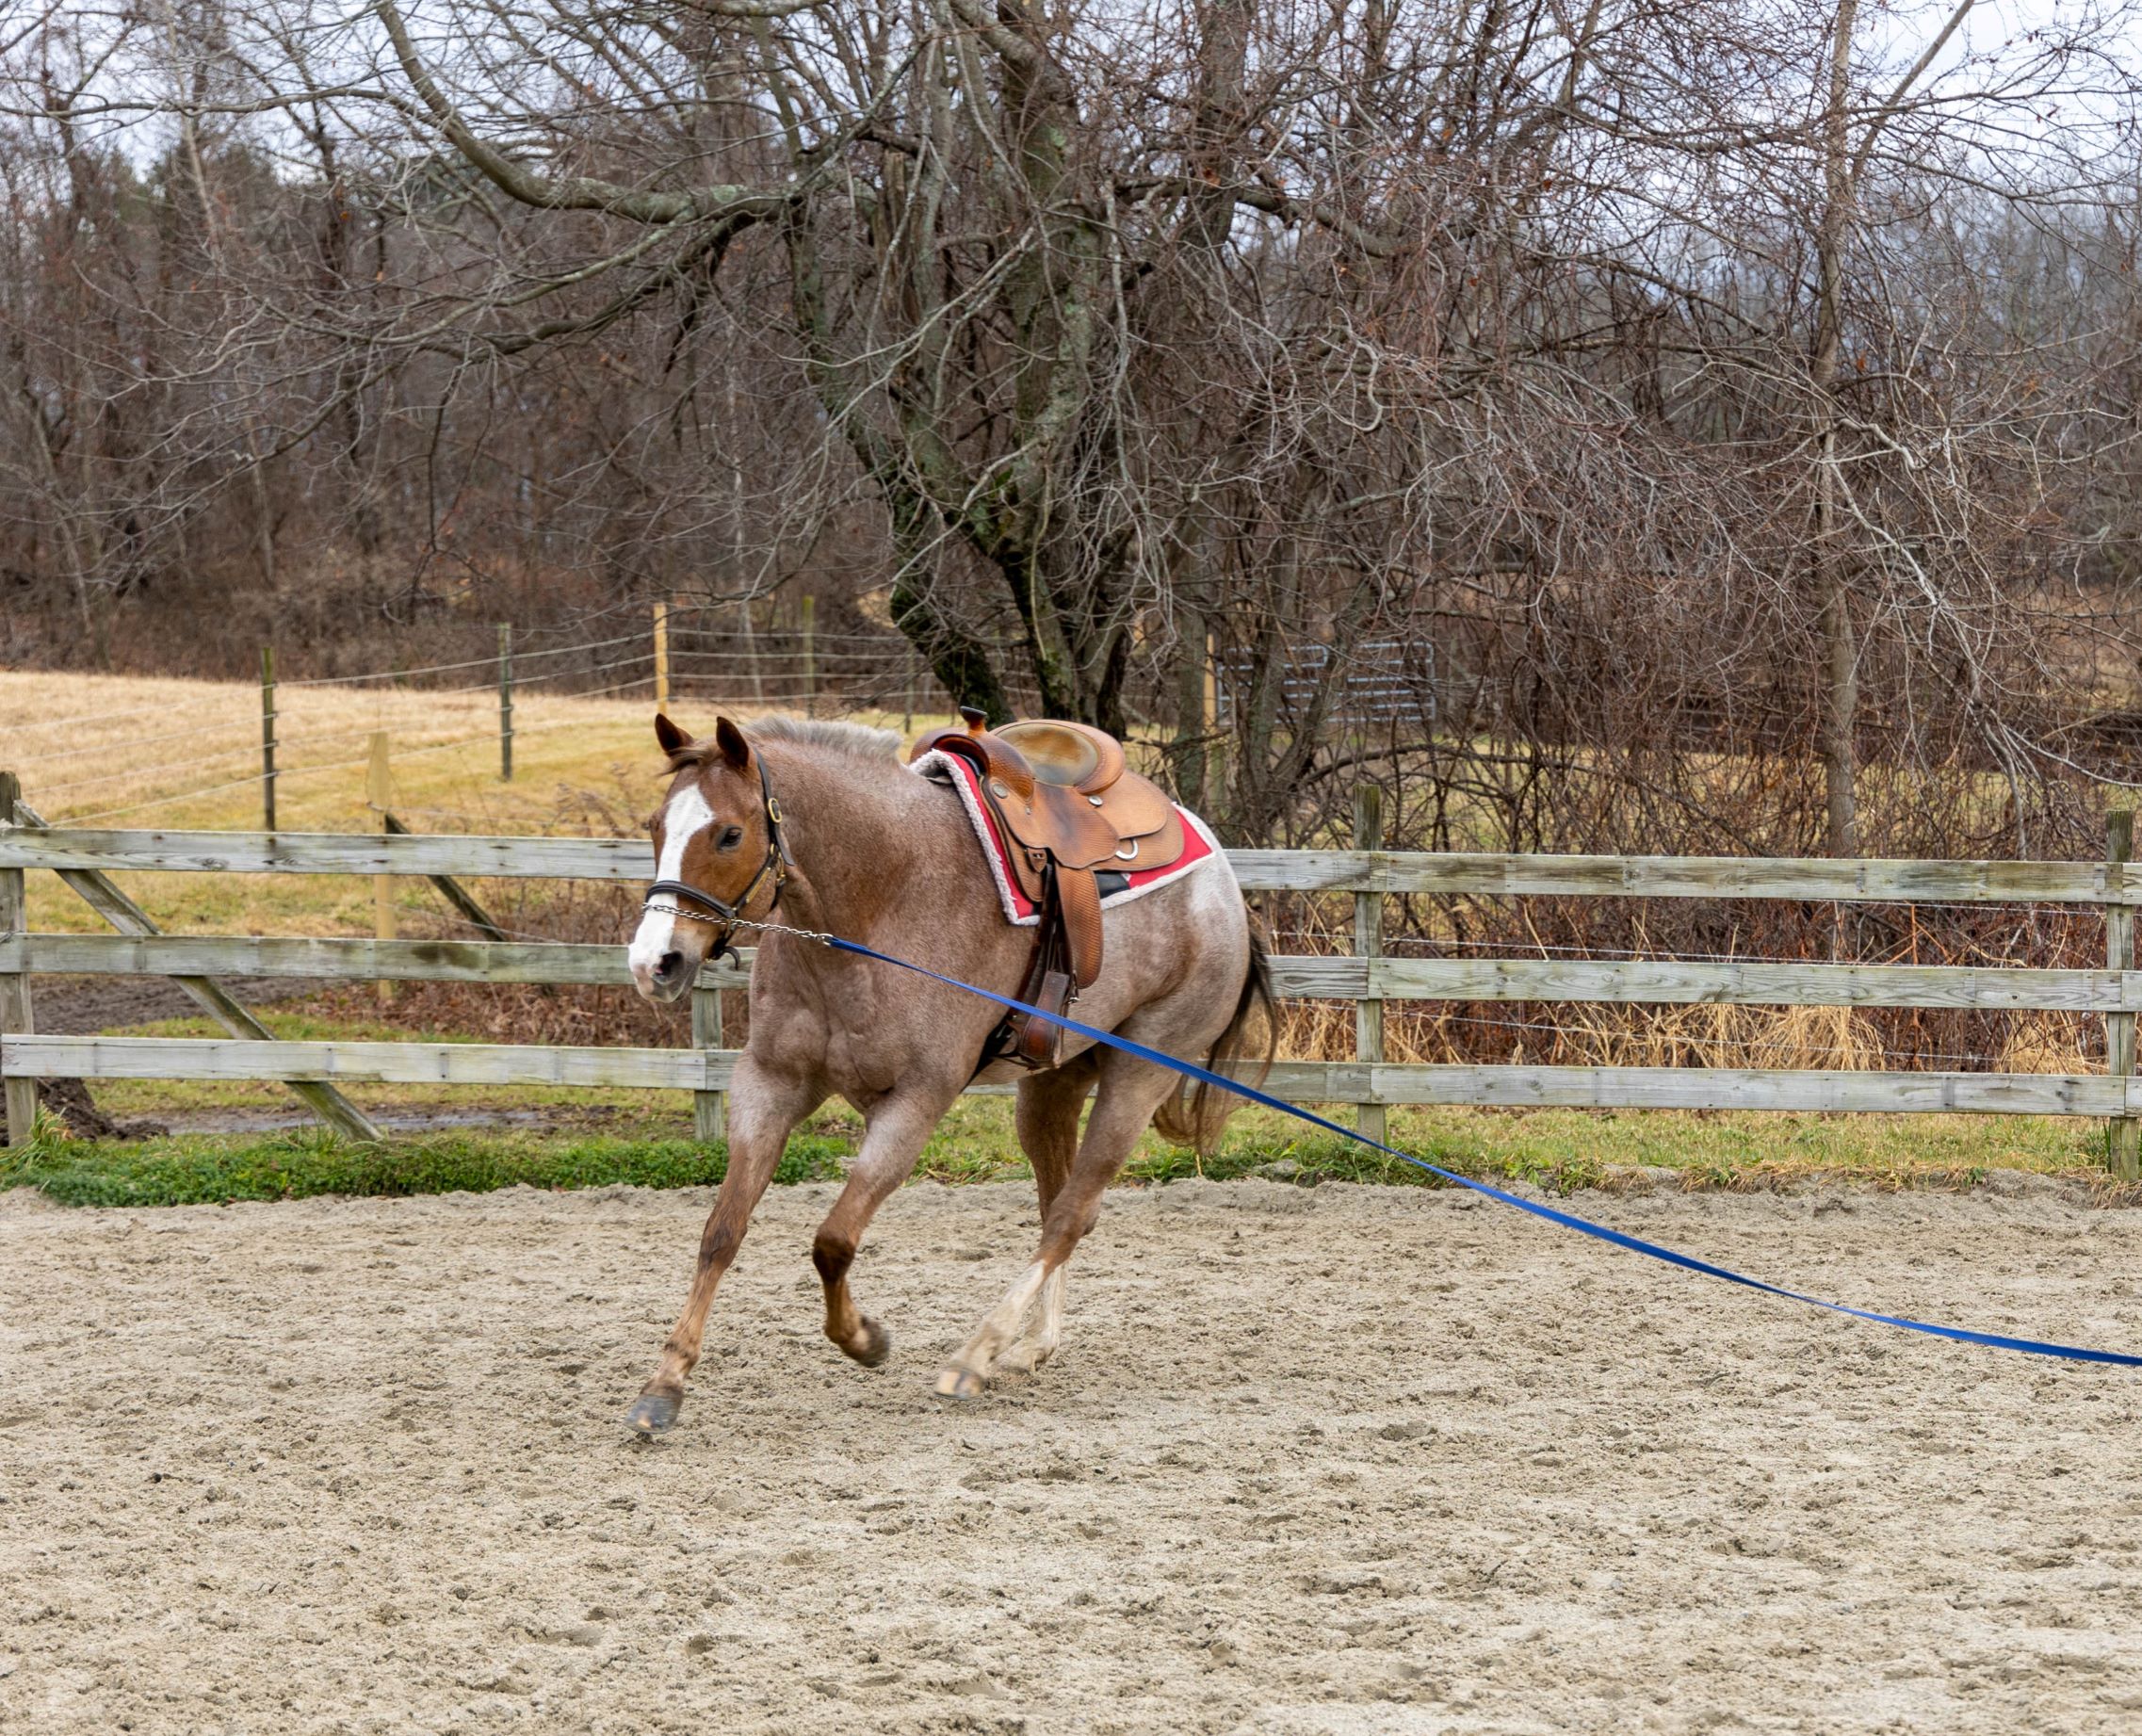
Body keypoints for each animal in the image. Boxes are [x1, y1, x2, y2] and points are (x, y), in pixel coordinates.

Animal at [622, 711, 1272, 1434]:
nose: (654, 964)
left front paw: (865, 1340)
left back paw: (978, 1353)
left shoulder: (914, 1103)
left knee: (1069, 1215)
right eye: (656, 825)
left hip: (1139, 1076)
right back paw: (1033, 1344)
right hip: (1051, 1082)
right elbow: (721, 1233)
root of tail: (1223, 883)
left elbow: (833, 1241)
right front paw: (665, 1382)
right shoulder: (770, 1084)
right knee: (1063, 1209)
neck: (882, 899)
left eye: (730, 832)